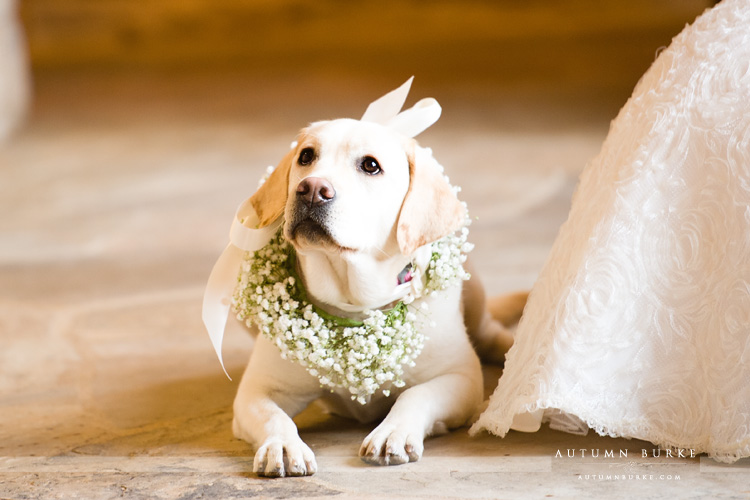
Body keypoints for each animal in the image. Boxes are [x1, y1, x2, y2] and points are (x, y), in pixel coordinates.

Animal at [232, 116, 524, 476]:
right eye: (306, 156)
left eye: (371, 165)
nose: (312, 189)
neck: (354, 304)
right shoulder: (258, 390)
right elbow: (274, 416)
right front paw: (283, 445)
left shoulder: (461, 378)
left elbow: (416, 395)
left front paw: (393, 432)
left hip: (477, 304)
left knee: (490, 332)